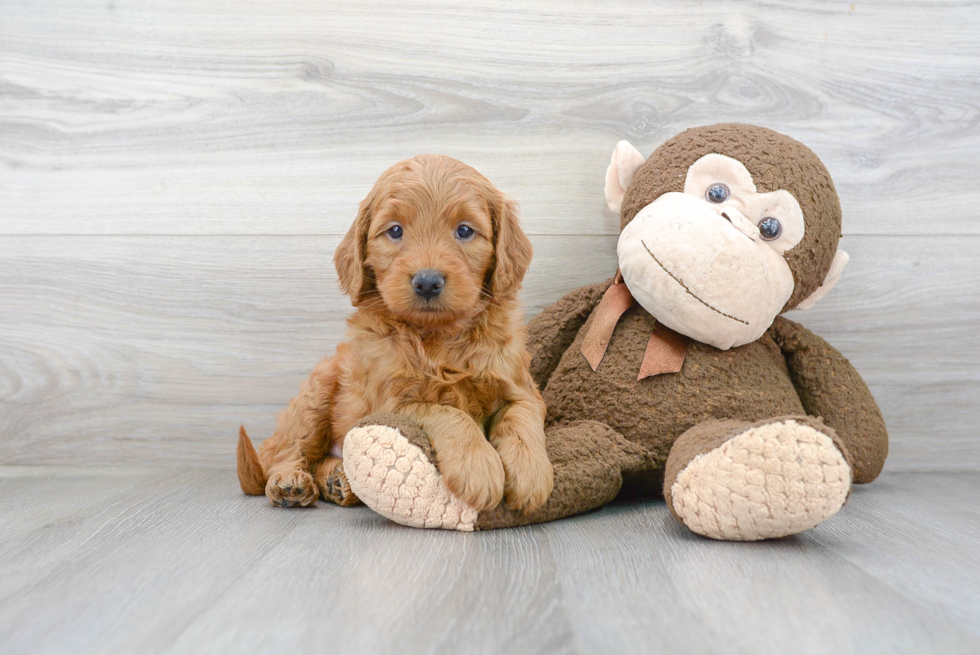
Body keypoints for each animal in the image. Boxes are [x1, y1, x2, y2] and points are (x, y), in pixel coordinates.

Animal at [239, 156, 552, 516]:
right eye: (395, 231)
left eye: (464, 230)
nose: (427, 281)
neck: (438, 337)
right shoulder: (392, 404)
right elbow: (448, 413)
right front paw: (478, 468)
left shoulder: (520, 386)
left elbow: (521, 417)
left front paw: (531, 474)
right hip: (315, 391)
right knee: (284, 451)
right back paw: (289, 482)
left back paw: (338, 481)